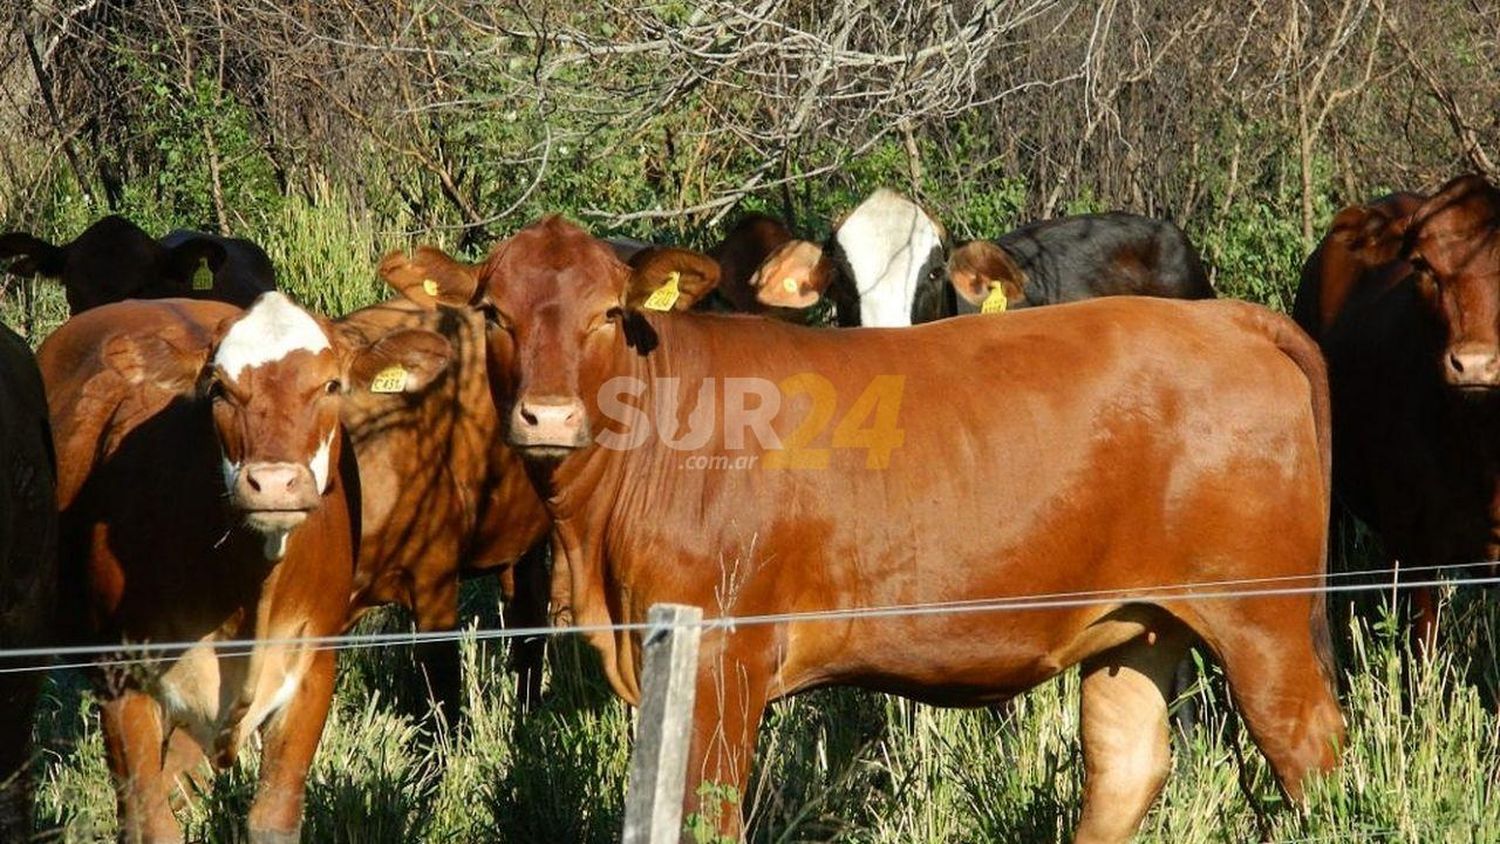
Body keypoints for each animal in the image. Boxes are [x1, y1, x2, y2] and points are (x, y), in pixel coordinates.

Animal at [41, 293, 447, 839]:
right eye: (219, 389)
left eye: (331, 385)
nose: (273, 482)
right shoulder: (121, 679)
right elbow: (154, 822)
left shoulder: (312, 672)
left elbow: (273, 817)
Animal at [399, 220, 1350, 844]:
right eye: (493, 312)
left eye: (604, 312)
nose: (548, 415)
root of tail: (1225, 317)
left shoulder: (724, 662)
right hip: (1140, 625)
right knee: (1126, 770)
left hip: (1264, 623)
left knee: (1313, 759)